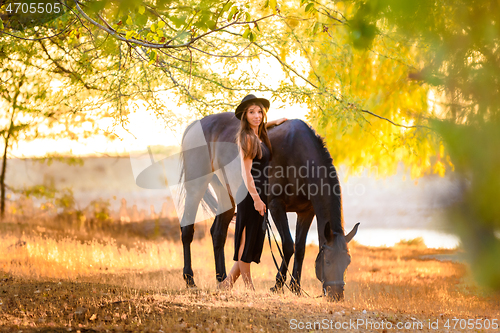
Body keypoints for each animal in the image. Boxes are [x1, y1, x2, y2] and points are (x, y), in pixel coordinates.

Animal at [178, 111, 358, 298]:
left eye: (347, 262)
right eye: (328, 261)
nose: (337, 295)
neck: (297, 153)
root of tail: (195, 125)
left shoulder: (307, 212)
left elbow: (300, 248)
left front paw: (295, 287)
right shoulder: (275, 206)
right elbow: (288, 245)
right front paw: (278, 285)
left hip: (227, 195)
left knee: (218, 233)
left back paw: (222, 280)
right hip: (196, 188)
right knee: (187, 231)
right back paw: (190, 280)